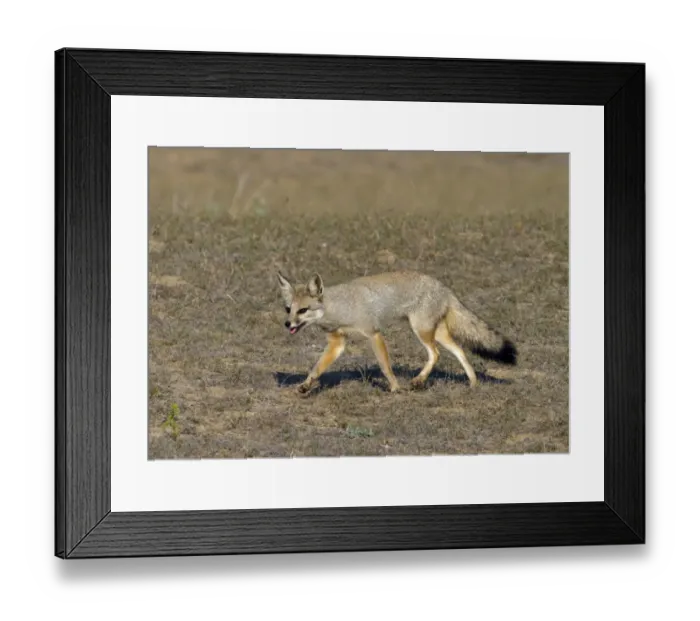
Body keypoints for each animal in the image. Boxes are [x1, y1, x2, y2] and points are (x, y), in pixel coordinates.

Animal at [277, 270, 517, 394]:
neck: (339, 307)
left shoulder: (373, 333)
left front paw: (394, 388)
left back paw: (418, 381)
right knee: (460, 351)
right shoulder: (338, 342)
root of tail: (444, 287)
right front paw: (306, 385)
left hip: (421, 331)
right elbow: (317, 368)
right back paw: (473, 382)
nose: (287, 324)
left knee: (436, 354)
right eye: (288, 309)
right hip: (436, 333)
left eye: (303, 310)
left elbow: (385, 366)